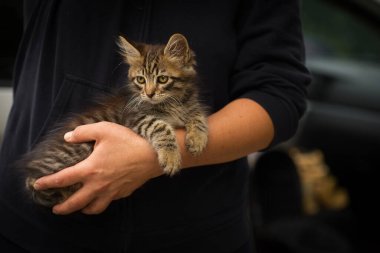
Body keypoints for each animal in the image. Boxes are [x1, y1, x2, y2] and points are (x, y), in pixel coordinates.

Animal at [20, 33, 208, 208]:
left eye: (162, 79)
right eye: (141, 80)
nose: (149, 94)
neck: (173, 102)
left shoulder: (190, 105)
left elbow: (198, 115)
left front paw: (198, 139)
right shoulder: (135, 116)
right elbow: (161, 126)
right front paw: (170, 157)